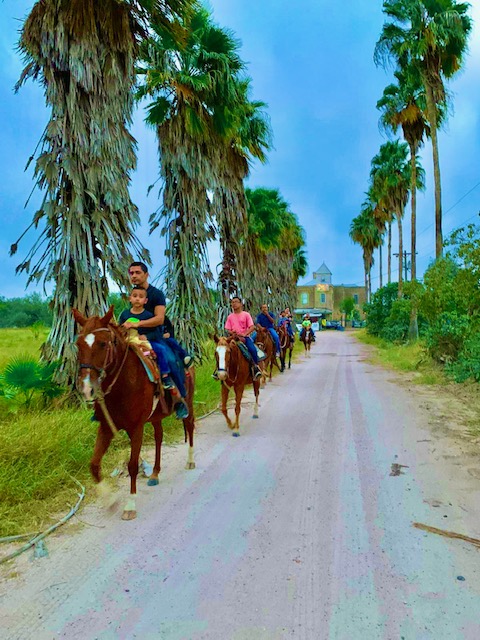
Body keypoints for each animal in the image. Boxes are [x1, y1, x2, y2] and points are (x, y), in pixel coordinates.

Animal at [73, 304, 197, 520]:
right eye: (79, 344)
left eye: (103, 344)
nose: (87, 388)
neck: (123, 384)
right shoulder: (105, 427)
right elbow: (94, 465)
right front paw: (110, 501)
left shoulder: (136, 428)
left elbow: (132, 465)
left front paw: (130, 506)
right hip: (156, 416)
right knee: (159, 437)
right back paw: (155, 473)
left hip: (187, 402)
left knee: (189, 427)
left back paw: (190, 460)